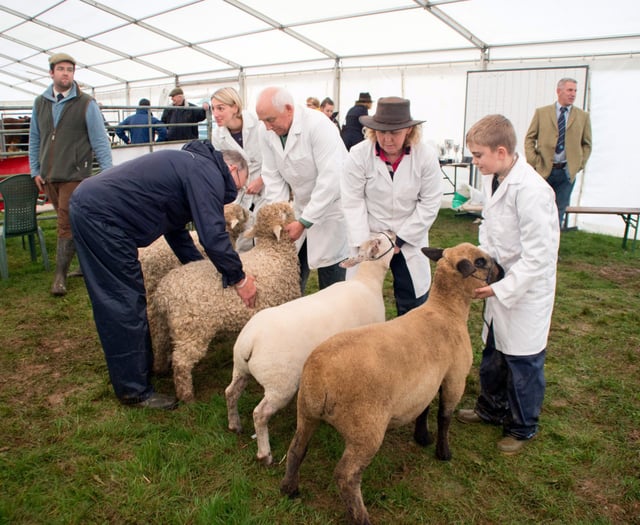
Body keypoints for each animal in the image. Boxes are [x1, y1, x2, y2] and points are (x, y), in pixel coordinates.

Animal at [149, 201, 300, 402]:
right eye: (285, 212)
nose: (290, 202)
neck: (273, 252)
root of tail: (164, 292)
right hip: (191, 329)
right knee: (181, 362)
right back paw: (187, 396)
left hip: (163, 323)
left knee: (159, 343)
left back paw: (160, 370)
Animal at [224, 229, 396, 462]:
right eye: (379, 240)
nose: (392, 233)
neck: (367, 282)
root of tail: (250, 341)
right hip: (280, 384)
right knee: (260, 415)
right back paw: (265, 454)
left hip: (241, 369)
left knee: (230, 392)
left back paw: (234, 424)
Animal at [280, 242, 504, 524]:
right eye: (482, 262)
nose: (503, 271)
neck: (445, 311)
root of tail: (321, 374)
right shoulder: (455, 378)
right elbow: (444, 416)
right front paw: (443, 453)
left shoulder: (426, 383)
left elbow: (424, 409)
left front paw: (422, 437)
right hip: (365, 431)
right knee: (345, 476)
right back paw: (361, 517)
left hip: (306, 412)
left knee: (296, 449)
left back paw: (289, 489)